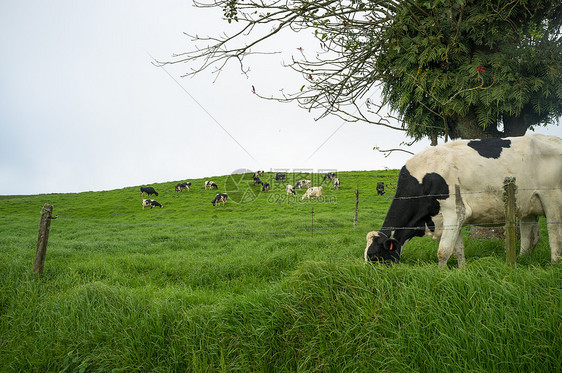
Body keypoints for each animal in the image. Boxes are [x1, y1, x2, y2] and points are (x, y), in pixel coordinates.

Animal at [364, 134, 560, 268]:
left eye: (375, 257)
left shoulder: (454, 211)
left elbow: (443, 251)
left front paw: (440, 274)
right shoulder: (452, 218)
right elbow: (457, 250)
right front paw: (461, 271)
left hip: (552, 197)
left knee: (554, 232)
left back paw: (554, 263)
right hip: (528, 206)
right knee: (530, 237)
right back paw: (522, 260)